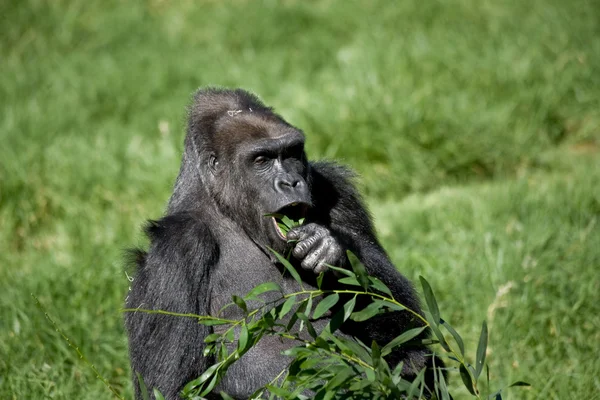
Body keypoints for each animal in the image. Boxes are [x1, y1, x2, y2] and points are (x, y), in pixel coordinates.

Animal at [123, 89, 440, 398]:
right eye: (261, 160)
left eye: (290, 153)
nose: (290, 182)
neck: (227, 210)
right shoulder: (177, 248)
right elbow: (173, 386)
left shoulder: (335, 187)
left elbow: (409, 331)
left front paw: (330, 249)